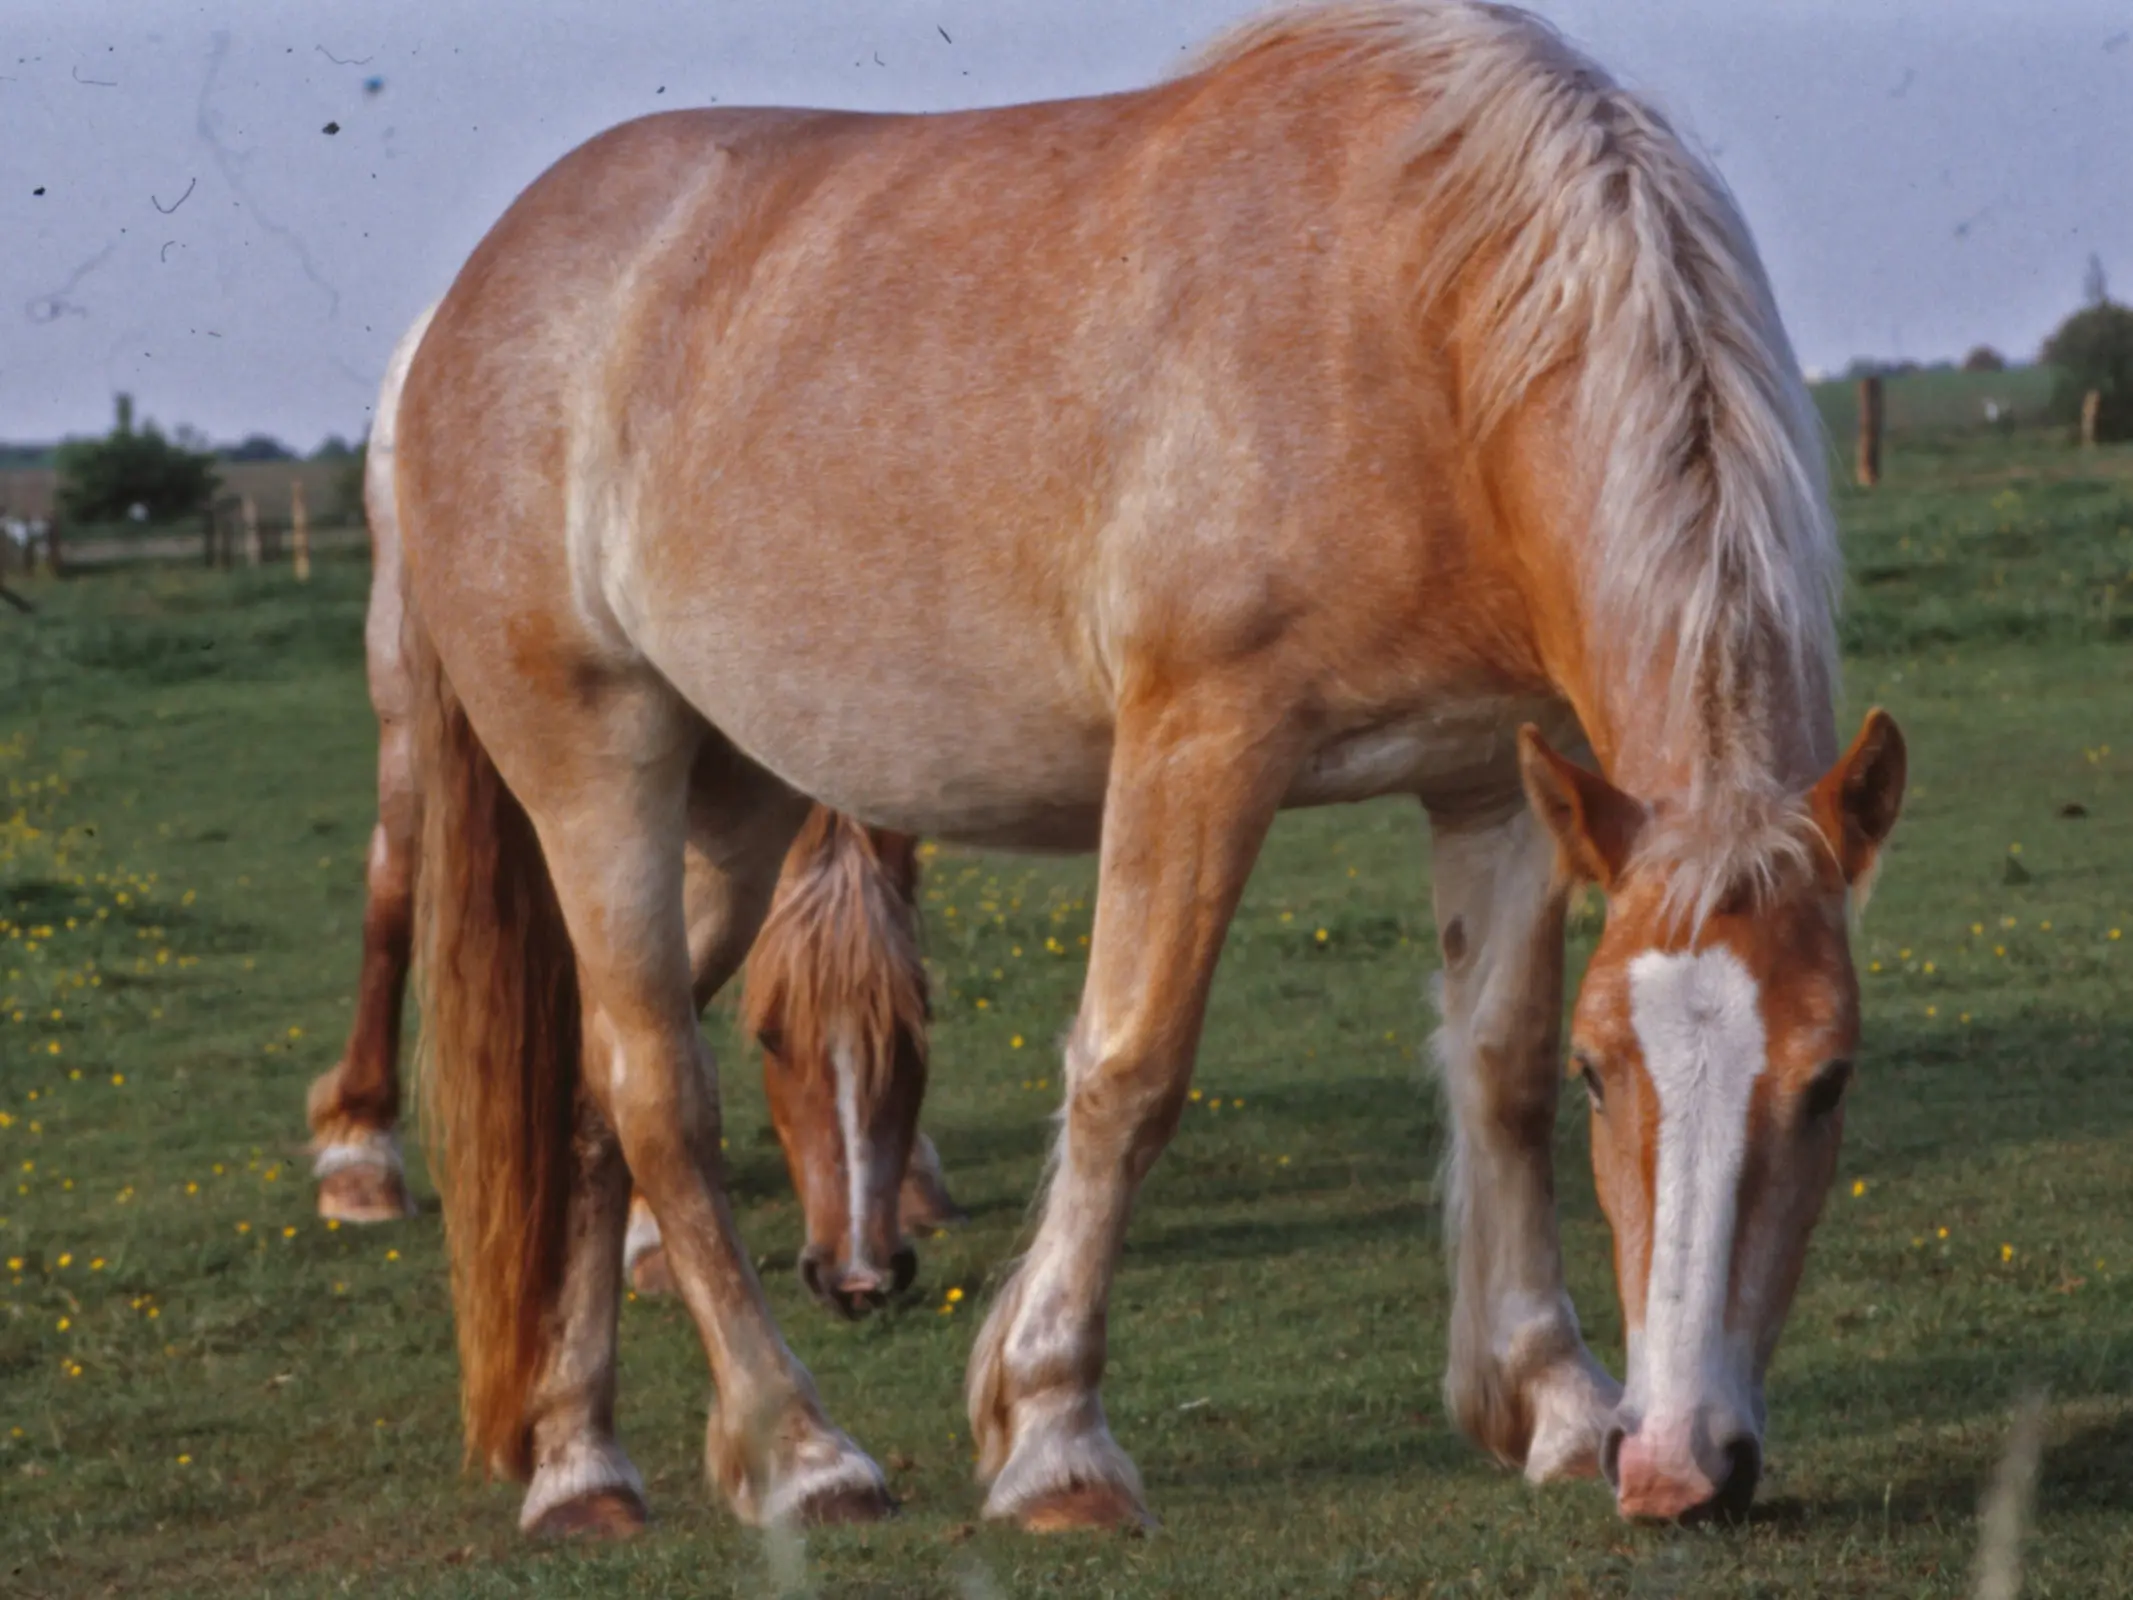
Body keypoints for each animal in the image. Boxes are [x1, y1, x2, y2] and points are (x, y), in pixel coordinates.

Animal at [302, 302, 968, 1314]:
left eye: (914, 1024)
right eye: (771, 1037)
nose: (858, 1279)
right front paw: (650, 1237)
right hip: (412, 693)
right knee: (393, 882)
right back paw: (360, 1156)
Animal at [396, 3, 1902, 1544]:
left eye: (1830, 1077)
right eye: (1619, 1077)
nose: (1680, 1468)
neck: (1421, 316)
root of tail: (478, 294)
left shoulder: (1502, 784)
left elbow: (1497, 1071)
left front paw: (1546, 1399)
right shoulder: (1201, 744)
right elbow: (1130, 1070)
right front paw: (1053, 1433)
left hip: (734, 812)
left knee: (590, 1098)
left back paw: (580, 1461)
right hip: (597, 771)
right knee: (657, 1094)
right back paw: (801, 1451)